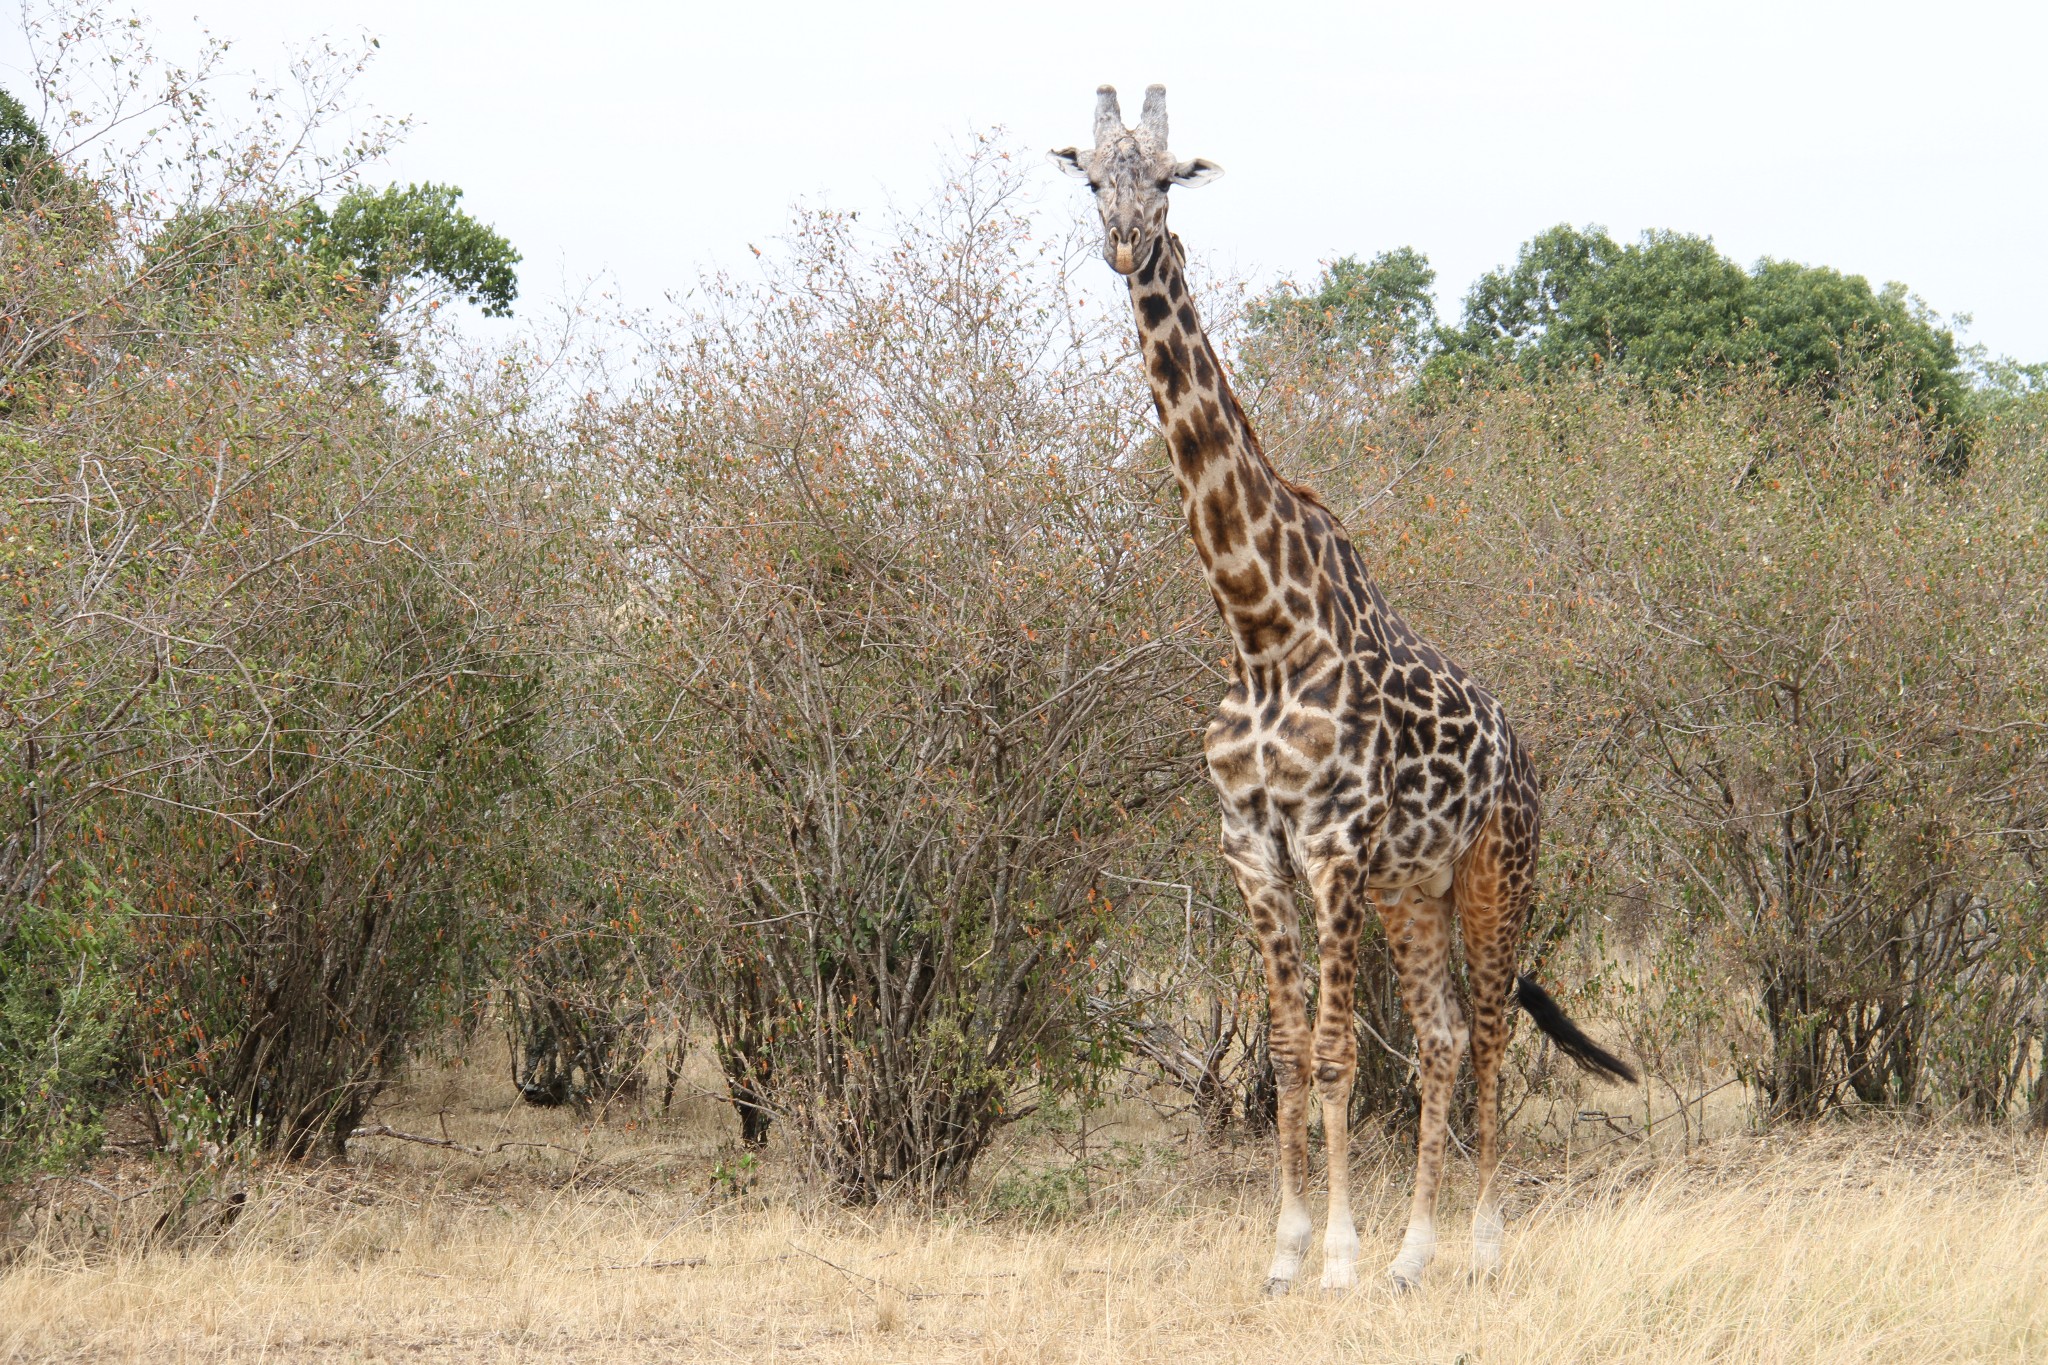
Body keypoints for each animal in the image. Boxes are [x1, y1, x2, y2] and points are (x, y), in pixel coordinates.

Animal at [1056, 85, 1630, 1293]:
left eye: (1168, 175)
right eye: (1090, 175)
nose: (1125, 243)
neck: (1260, 628)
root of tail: (1524, 756)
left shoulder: (1329, 847)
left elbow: (1327, 1053)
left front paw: (1336, 1257)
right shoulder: (1251, 845)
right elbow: (1282, 1053)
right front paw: (1286, 1252)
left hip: (1494, 873)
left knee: (1490, 1030)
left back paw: (1479, 1245)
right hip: (1411, 889)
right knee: (1441, 1034)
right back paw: (1417, 1254)